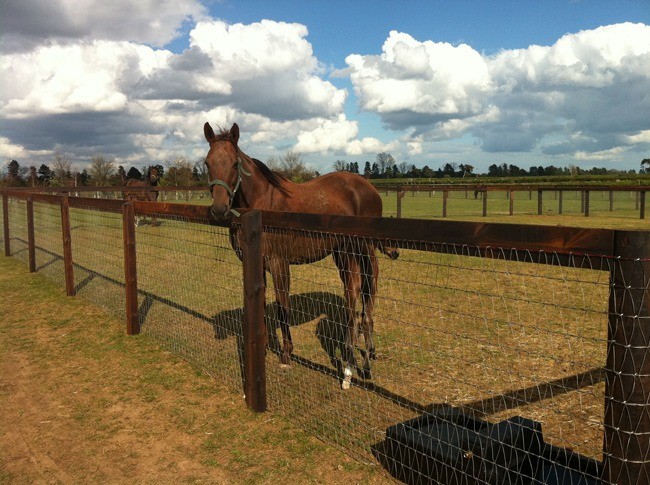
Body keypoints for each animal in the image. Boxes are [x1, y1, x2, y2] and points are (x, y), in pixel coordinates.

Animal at [202, 122, 394, 390]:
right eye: (207, 162)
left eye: (234, 163)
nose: (219, 209)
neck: (264, 204)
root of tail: (369, 187)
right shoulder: (257, 264)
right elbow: (261, 305)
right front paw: (263, 348)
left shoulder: (279, 264)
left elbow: (282, 308)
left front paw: (286, 355)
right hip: (342, 253)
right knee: (354, 290)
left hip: (363, 249)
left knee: (368, 288)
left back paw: (362, 358)